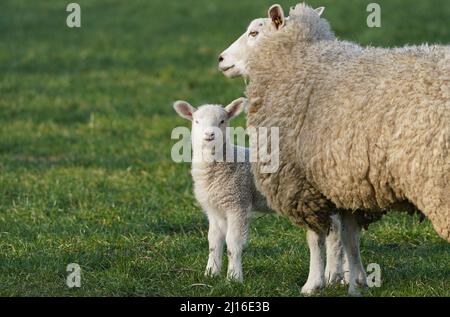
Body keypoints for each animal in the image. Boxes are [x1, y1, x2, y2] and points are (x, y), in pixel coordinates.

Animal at [217, 1, 446, 294]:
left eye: (254, 33)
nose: (221, 59)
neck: (297, 60)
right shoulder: (348, 183)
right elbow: (348, 237)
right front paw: (355, 278)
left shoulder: (302, 183)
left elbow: (315, 239)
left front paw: (312, 283)